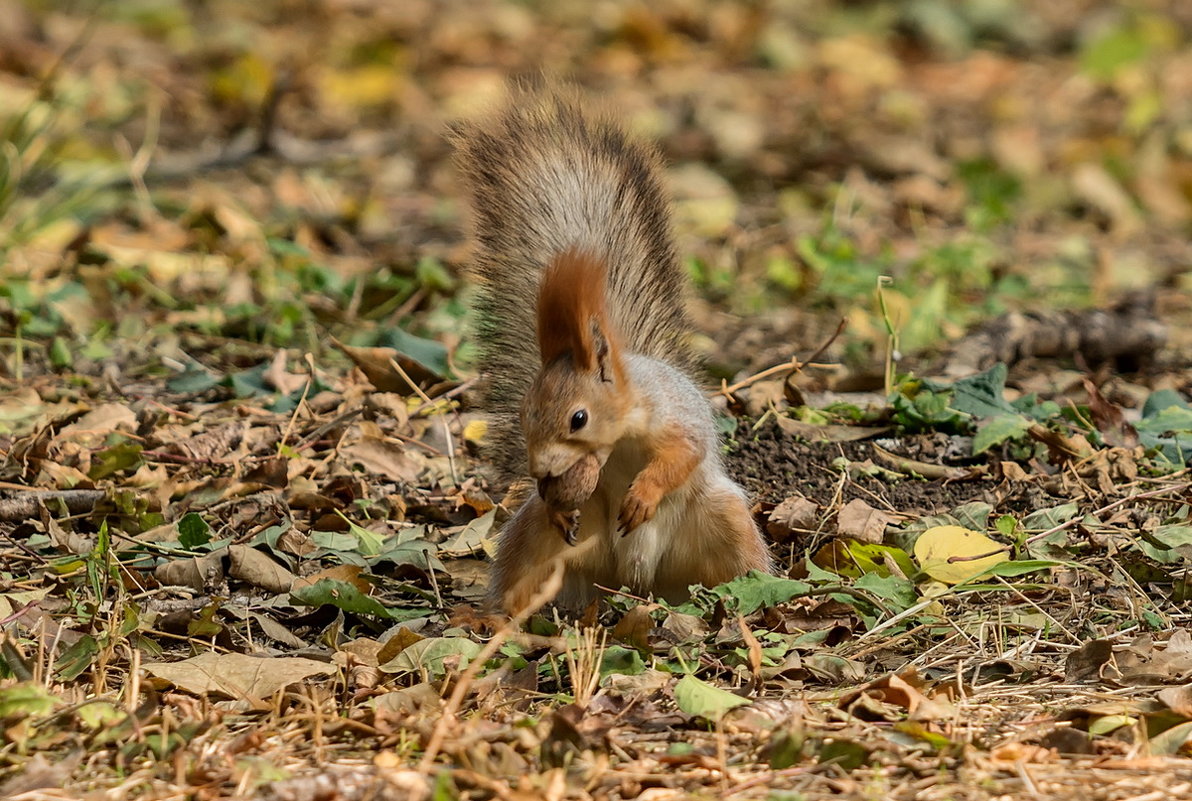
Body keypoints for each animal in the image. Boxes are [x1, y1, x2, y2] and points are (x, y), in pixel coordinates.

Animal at [448, 85, 772, 615]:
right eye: (524, 413)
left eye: (579, 418)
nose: (540, 473)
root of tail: (631, 579)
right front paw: (558, 500)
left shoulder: (672, 418)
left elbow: (682, 454)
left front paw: (644, 493)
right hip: (535, 539)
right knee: (524, 573)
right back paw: (493, 617)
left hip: (722, 522)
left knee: (739, 565)